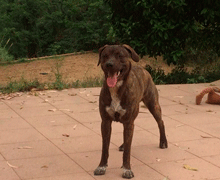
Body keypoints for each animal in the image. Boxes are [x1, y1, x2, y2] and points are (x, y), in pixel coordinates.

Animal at [93, 44, 168, 178]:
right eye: (105, 56)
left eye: (120, 55)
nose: (109, 64)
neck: (116, 88)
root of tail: (143, 69)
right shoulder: (106, 122)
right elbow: (105, 147)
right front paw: (101, 167)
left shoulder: (128, 122)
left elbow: (128, 150)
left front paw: (127, 169)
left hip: (153, 104)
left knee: (161, 122)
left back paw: (163, 142)